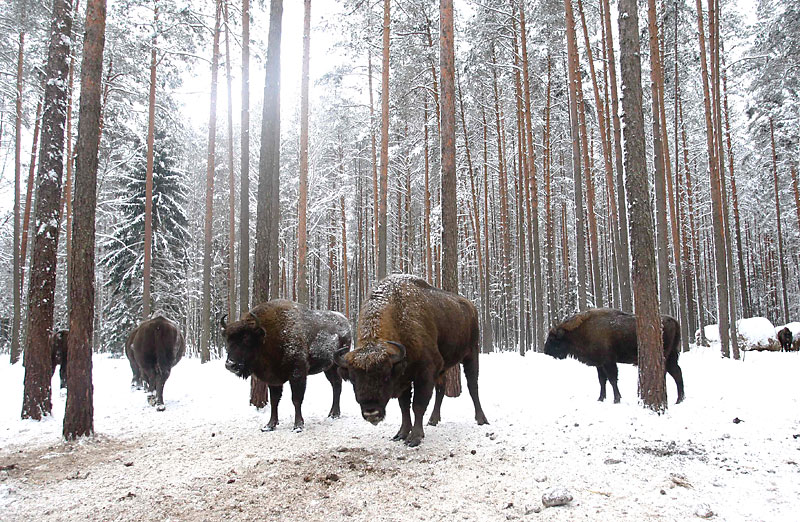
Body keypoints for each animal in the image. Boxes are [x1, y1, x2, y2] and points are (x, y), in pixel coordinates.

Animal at [223, 298, 352, 432]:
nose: (230, 364)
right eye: (227, 340)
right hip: (329, 367)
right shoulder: (273, 378)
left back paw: (334, 414)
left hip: (335, 365)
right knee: (336, 385)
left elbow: (296, 399)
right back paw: (332, 414)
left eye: (246, 339)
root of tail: (346, 321)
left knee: (337, 385)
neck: (267, 336)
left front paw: (298, 426)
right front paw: (269, 425)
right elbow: (274, 400)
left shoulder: (297, 374)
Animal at [334, 272, 490, 446]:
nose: (371, 413)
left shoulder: (425, 372)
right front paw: (401, 434)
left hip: (471, 354)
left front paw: (415, 437)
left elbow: (418, 405)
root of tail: (470, 306)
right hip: (444, 368)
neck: (398, 316)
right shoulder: (404, 377)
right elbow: (404, 407)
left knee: (472, 386)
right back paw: (433, 420)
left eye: (385, 377)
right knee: (441, 389)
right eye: (354, 380)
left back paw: (481, 419)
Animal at [544, 306, 688, 404]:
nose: (545, 351)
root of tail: (673, 320)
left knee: (668, 373)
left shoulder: (608, 362)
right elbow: (602, 380)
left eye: (551, 339)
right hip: (671, 357)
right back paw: (679, 399)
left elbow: (612, 379)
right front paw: (600, 398)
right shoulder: (599, 364)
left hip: (666, 356)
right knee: (677, 373)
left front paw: (616, 399)